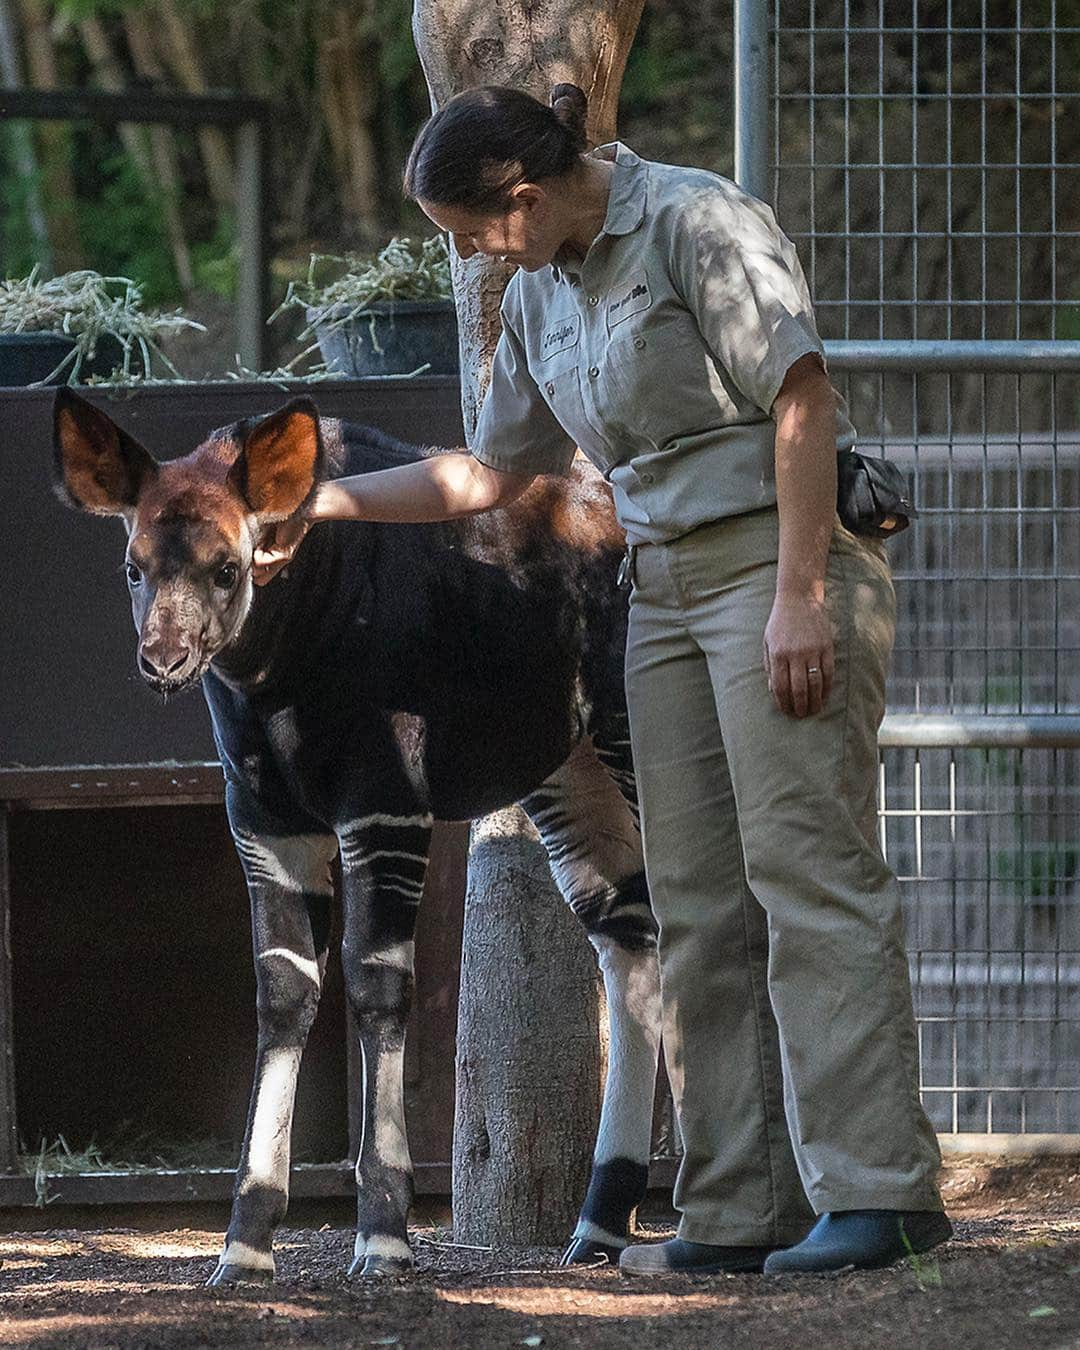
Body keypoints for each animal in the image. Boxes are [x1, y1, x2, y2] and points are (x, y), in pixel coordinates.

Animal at [54, 388, 666, 1274]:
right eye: (133, 567)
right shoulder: (267, 823)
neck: (279, 668)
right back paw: (600, 1222)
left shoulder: (385, 805)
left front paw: (382, 1235)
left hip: (639, 729)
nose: (164, 659)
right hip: (571, 767)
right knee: (632, 933)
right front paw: (245, 1242)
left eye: (228, 568)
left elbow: (376, 986)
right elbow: (284, 992)